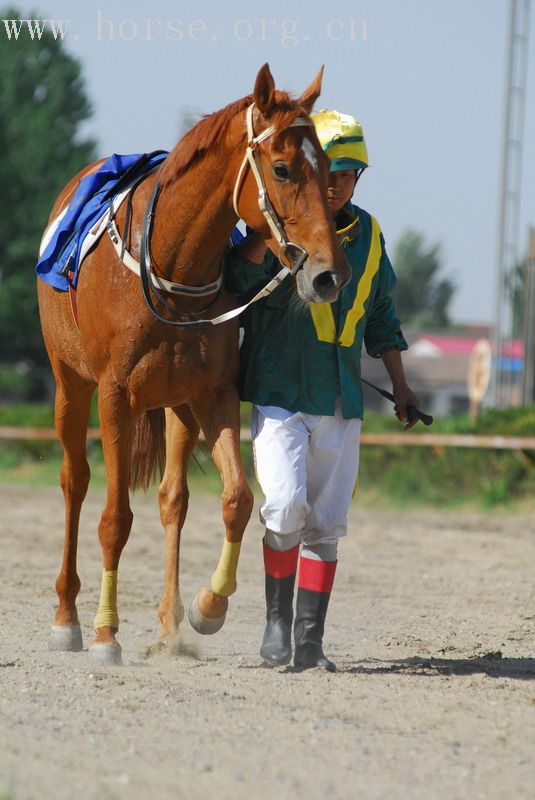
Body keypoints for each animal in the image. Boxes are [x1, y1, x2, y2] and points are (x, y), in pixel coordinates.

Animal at [36, 62, 348, 664]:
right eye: (282, 168)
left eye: (326, 171)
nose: (328, 274)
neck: (169, 264)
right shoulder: (114, 395)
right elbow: (115, 518)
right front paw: (106, 633)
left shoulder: (213, 394)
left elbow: (237, 499)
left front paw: (209, 606)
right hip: (70, 383)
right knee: (74, 481)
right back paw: (66, 616)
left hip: (176, 404)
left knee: (171, 500)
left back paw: (170, 625)